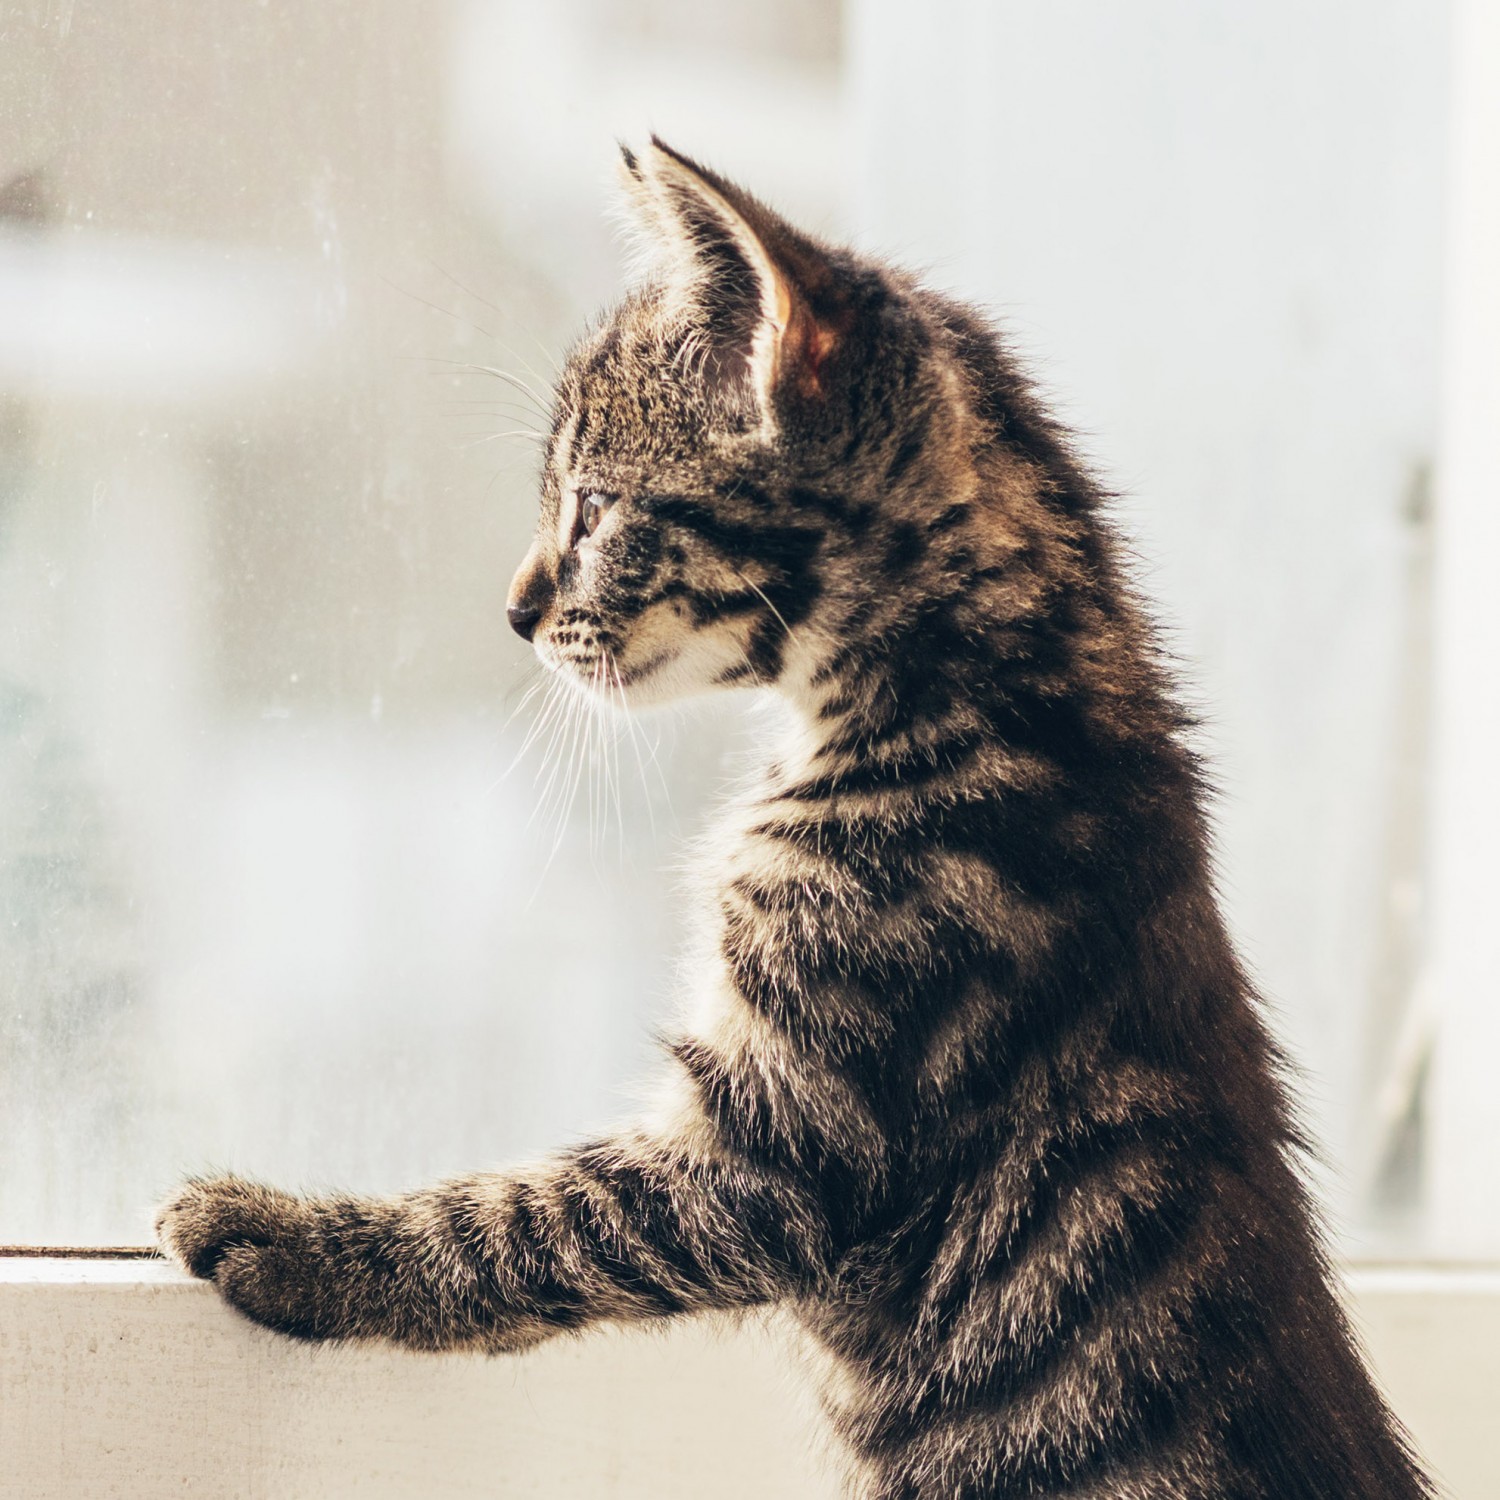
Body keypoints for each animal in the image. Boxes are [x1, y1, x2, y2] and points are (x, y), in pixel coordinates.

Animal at [158, 141, 1434, 1500]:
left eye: (596, 509)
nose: (512, 610)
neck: (983, 695)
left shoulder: (784, 1140)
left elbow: (526, 1222)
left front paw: (287, 1236)